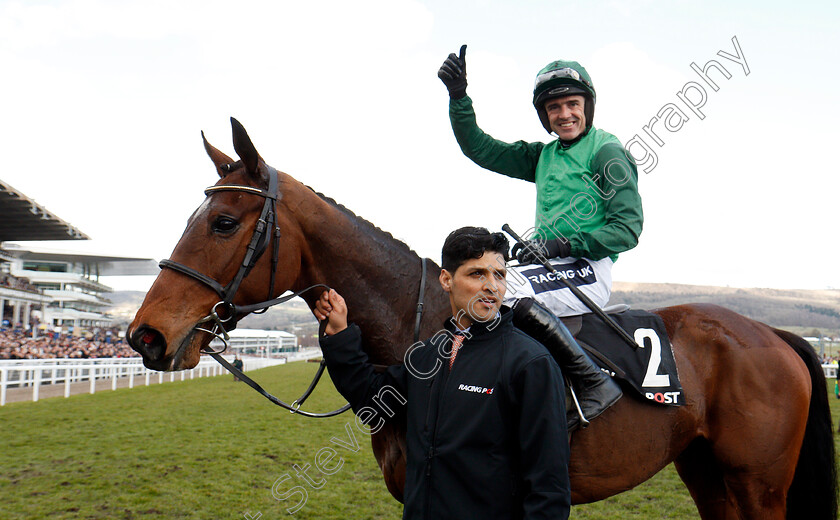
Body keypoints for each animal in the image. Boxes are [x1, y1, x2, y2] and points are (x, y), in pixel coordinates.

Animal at [128, 120, 836, 516]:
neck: (425, 330)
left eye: (223, 222)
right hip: (707, 473)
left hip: (758, 485)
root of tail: (775, 335)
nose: (145, 335)